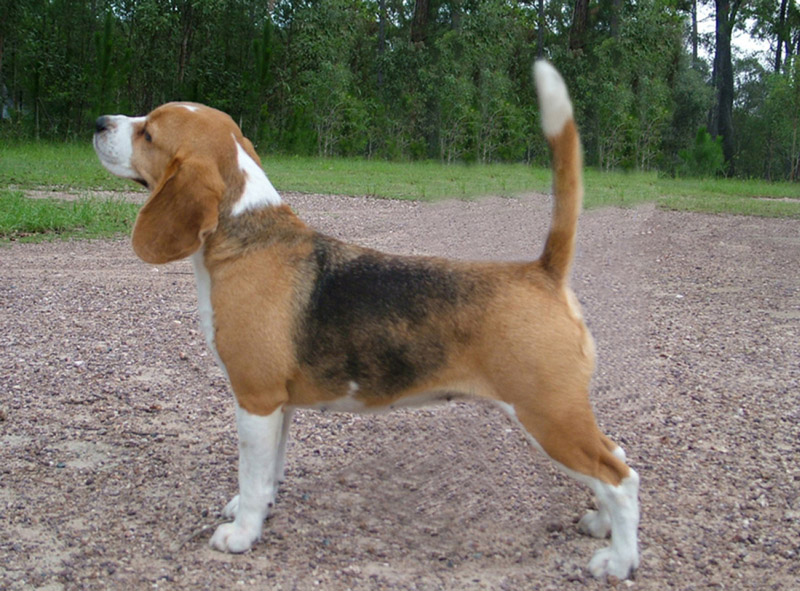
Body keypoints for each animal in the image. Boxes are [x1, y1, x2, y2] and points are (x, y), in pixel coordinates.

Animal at [94, 61, 640, 584]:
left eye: (148, 133)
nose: (99, 122)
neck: (247, 233)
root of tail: (542, 271)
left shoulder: (255, 398)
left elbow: (251, 475)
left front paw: (242, 532)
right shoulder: (278, 406)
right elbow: (269, 471)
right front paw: (260, 509)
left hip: (548, 415)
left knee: (620, 478)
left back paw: (618, 560)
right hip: (562, 413)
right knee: (616, 458)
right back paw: (602, 526)